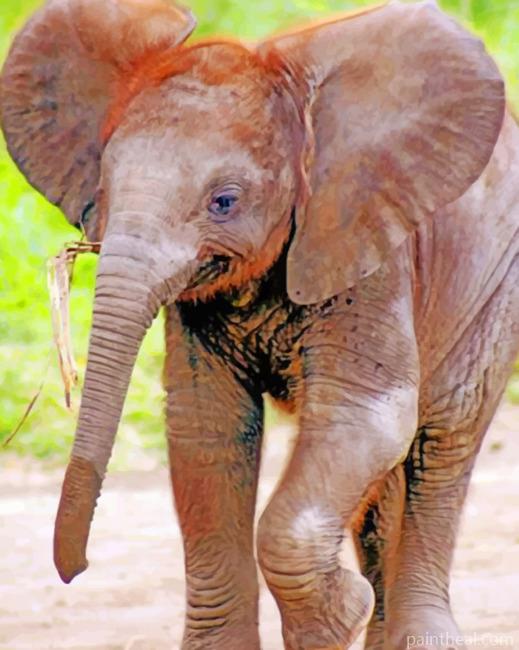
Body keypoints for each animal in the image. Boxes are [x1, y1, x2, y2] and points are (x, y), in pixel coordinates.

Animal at [1, 0, 518, 648]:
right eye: (103, 187)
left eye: (224, 202)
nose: (78, 568)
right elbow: (208, 428)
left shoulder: (362, 238)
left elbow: (365, 415)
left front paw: (336, 615)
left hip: (493, 283)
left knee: (444, 437)